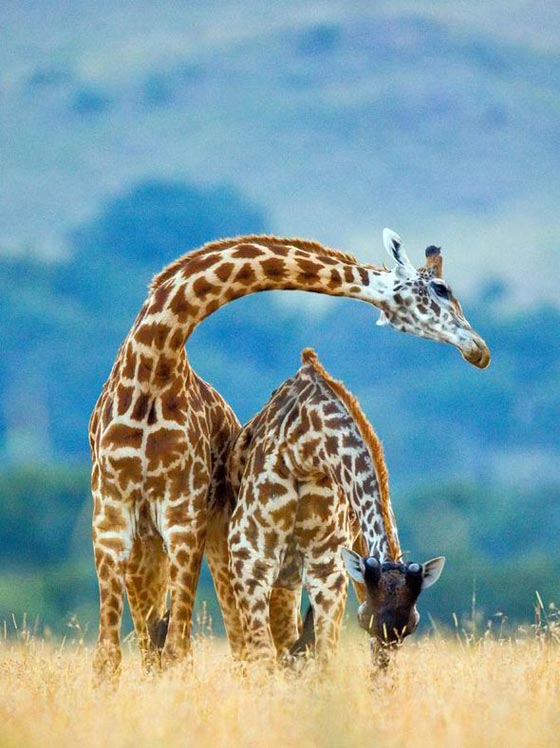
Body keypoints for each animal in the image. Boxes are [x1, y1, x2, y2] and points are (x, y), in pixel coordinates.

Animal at [227, 349, 445, 665]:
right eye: (365, 620)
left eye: (411, 626)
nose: (382, 671)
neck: (305, 446)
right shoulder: (250, 555)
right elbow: (264, 654)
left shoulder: (327, 566)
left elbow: (323, 656)